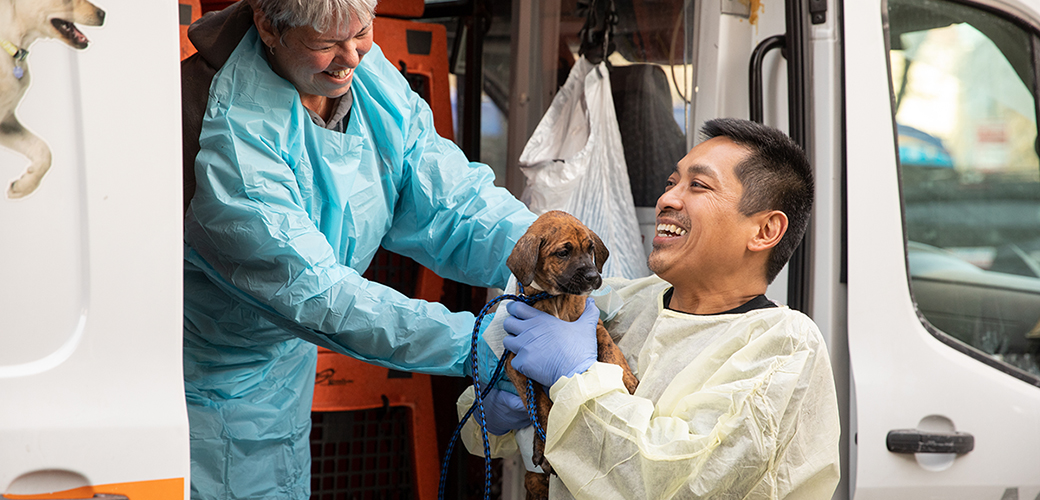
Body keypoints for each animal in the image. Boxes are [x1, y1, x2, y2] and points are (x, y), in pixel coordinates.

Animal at [501, 209, 636, 498]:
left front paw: (627, 378)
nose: (594, 277)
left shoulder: (593, 322)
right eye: (563, 253)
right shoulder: (515, 363)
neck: (556, 300)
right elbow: (540, 404)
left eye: (590, 249)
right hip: (533, 481)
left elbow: (608, 346)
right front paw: (543, 445)